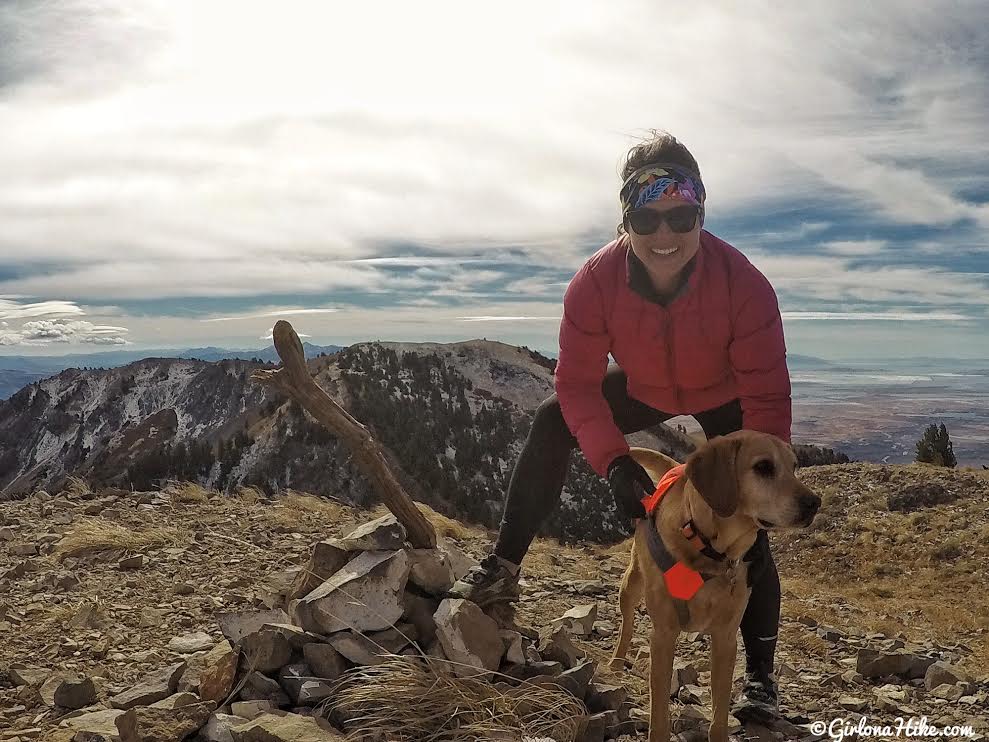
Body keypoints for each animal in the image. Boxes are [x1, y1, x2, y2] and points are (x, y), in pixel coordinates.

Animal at [604, 430, 824, 742]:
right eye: (763, 467)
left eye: (794, 466)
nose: (814, 503)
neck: (709, 549)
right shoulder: (663, 636)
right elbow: (659, 712)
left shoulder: (725, 639)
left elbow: (719, 711)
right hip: (632, 583)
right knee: (627, 622)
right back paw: (616, 660)